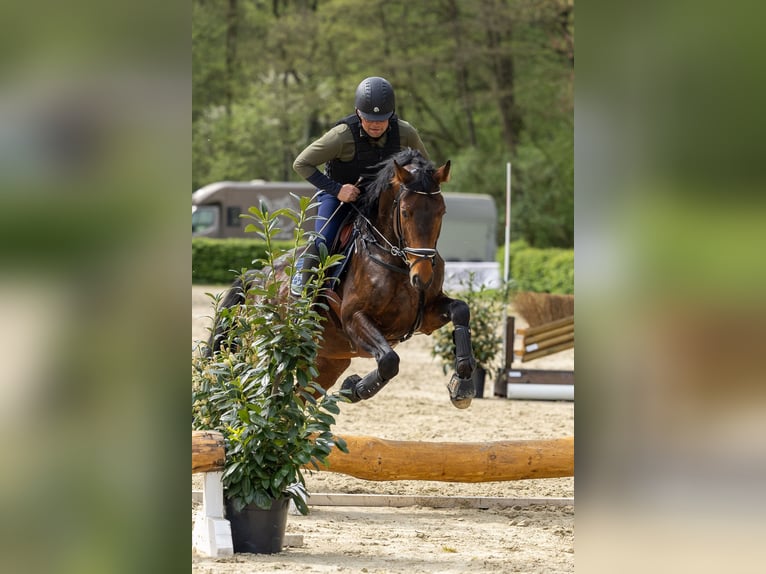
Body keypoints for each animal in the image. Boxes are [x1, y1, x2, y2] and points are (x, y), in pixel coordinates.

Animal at [207, 148, 476, 410]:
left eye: (442, 212)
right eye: (405, 212)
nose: (422, 277)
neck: (396, 260)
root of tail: (257, 277)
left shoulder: (425, 316)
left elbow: (461, 310)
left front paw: (463, 382)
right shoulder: (352, 318)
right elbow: (389, 360)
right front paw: (355, 387)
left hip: (325, 362)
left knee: (296, 397)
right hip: (264, 346)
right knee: (252, 379)